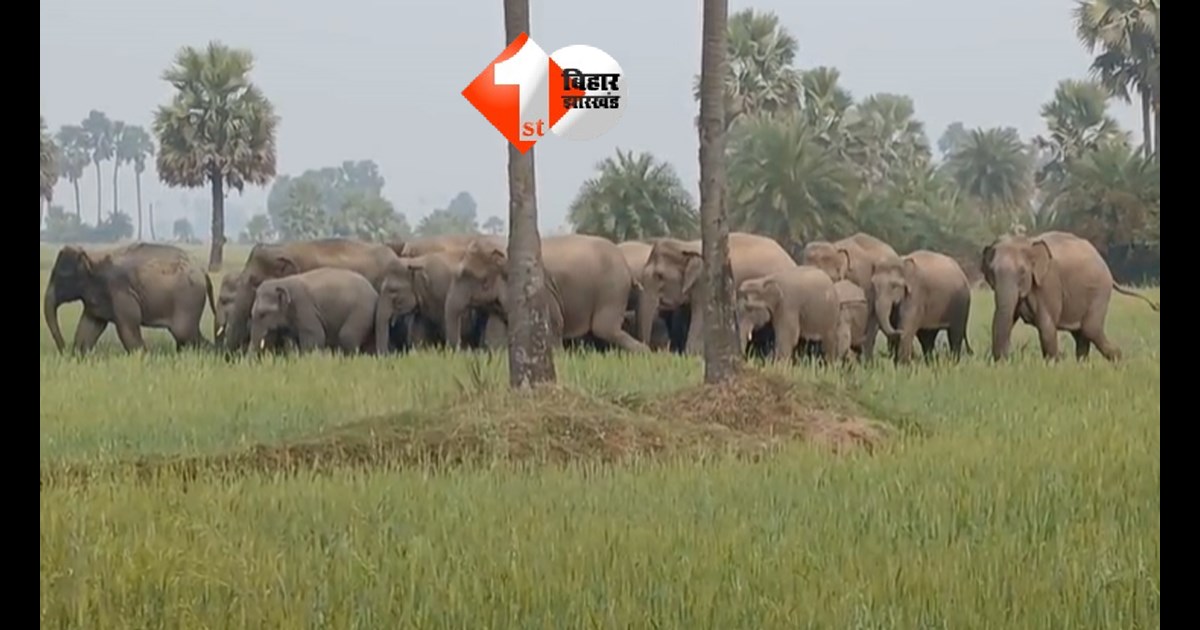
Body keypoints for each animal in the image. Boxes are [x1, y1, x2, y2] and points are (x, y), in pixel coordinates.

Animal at [44, 242, 215, 354]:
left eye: (62, 276)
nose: (64, 350)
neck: (93, 258)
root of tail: (203, 271)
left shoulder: (120, 291)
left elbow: (127, 329)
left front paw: (144, 357)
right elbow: (89, 327)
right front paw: (78, 356)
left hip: (188, 299)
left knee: (183, 332)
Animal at [249, 267, 379, 355]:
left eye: (263, 314)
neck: (283, 282)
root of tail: (374, 292)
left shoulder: (304, 306)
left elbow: (315, 336)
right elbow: (290, 340)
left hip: (361, 311)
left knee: (347, 336)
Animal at [444, 234, 648, 352]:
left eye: (468, 275)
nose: (462, 350)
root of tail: (627, 266)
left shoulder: (540, 289)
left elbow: (554, 323)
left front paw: (558, 356)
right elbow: (495, 331)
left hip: (612, 288)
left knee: (604, 328)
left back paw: (645, 353)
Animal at [981, 230, 1159, 361]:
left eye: (1022, 272)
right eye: (991, 272)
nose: (1005, 358)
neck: (1027, 241)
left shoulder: (1049, 284)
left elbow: (1046, 325)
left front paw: (1053, 364)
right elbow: (1007, 318)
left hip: (1099, 292)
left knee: (1090, 329)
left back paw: (1119, 360)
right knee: (1081, 334)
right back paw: (1084, 364)